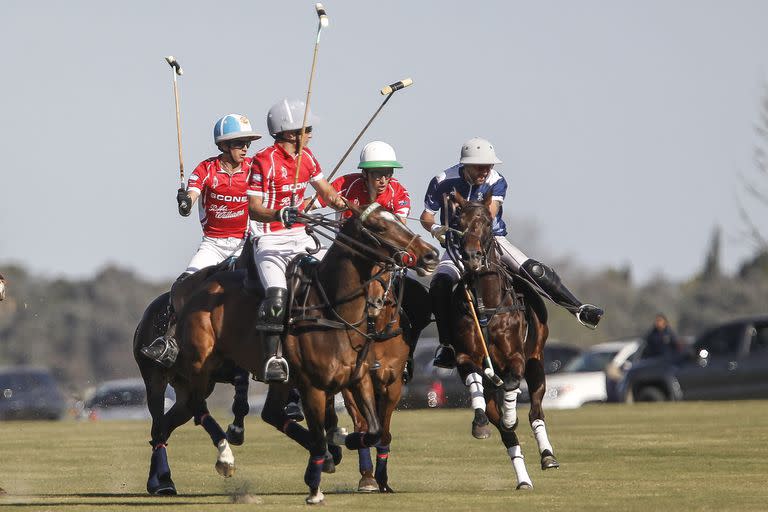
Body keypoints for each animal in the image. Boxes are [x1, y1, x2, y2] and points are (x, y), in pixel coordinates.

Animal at [171, 201, 440, 504]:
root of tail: (195, 287)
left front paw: (340, 442)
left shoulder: (358, 378)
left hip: (279, 378)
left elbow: (373, 430)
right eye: (379, 227)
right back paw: (226, 457)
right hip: (201, 364)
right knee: (197, 404)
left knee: (271, 413)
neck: (333, 309)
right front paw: (315, 486)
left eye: (396, 218)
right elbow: (326, 435)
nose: (430, 254)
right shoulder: (313, 387)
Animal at [444, 192, 560, 488]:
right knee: (507, 433)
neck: (487, 303)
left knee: (535, 412)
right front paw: (480, 423)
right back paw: (523, 479)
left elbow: (511, 382)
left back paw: (547, 455)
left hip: (536, 361)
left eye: (486, 222)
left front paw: (511, 413)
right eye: (458, 222)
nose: (472, 257)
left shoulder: (516, 357)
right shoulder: (465, 356)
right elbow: (476, 381)